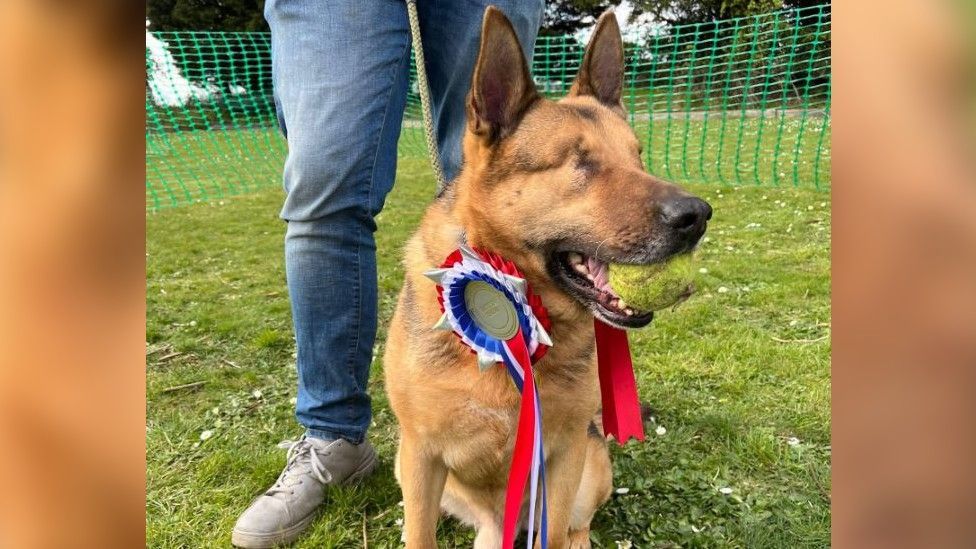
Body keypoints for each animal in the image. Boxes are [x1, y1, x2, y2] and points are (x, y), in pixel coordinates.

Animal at [386, 6, 712, 544]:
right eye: (580, 162)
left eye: (638, 156)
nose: (698, 216)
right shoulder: (420, 459)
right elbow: (419, 536)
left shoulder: (563, 454)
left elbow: (554, 536)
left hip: (591, 465)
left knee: (576, 526)